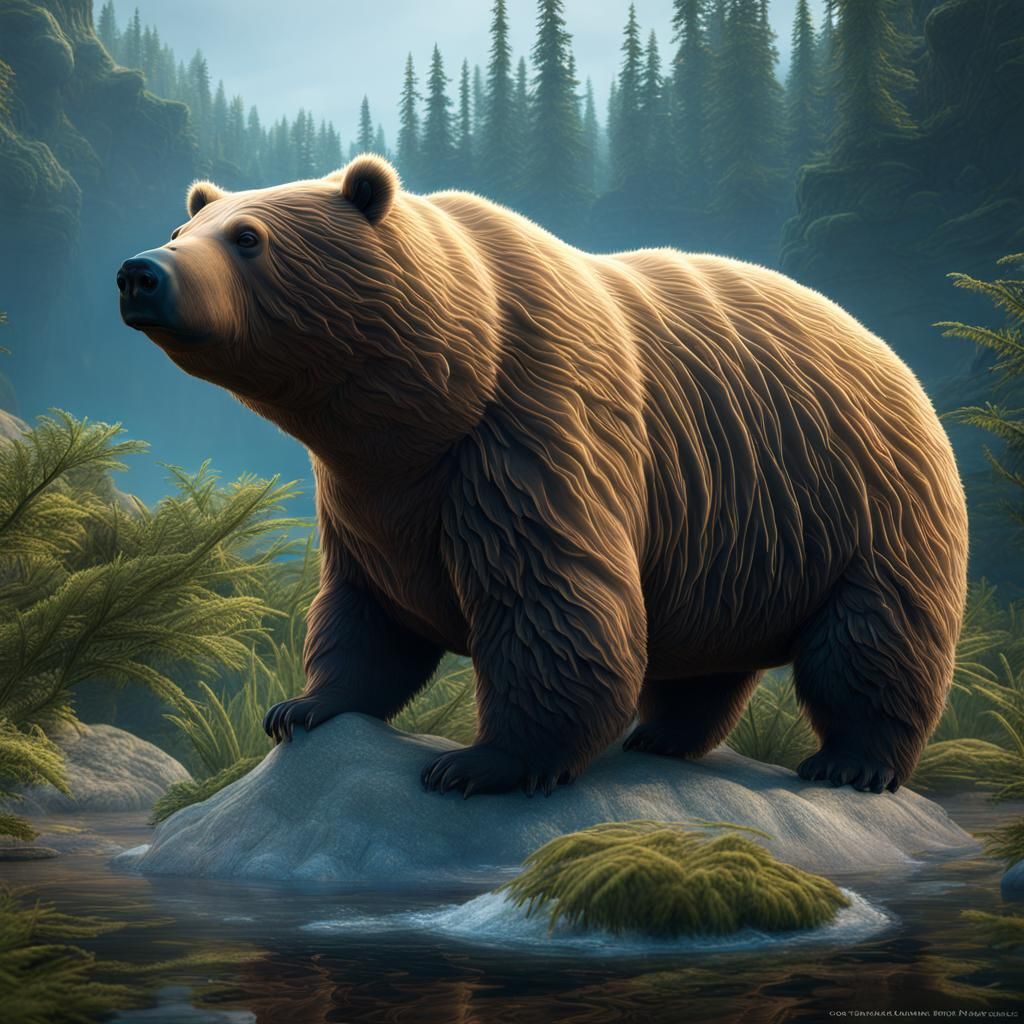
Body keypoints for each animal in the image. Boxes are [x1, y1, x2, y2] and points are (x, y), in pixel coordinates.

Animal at [117, 154, 968, 797]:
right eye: (181, 228)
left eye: (248, 237)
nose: (140, 271)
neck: (433, 390)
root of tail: (888, 350)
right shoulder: (369, 492)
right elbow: (367, 611)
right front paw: (300, 707)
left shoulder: (530, 432)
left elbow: (550, 604)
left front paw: (479, 763)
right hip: (736, 536)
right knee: (707, 657)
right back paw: (662, 736)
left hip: (864, 500)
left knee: (871, 637)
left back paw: (852, 762)